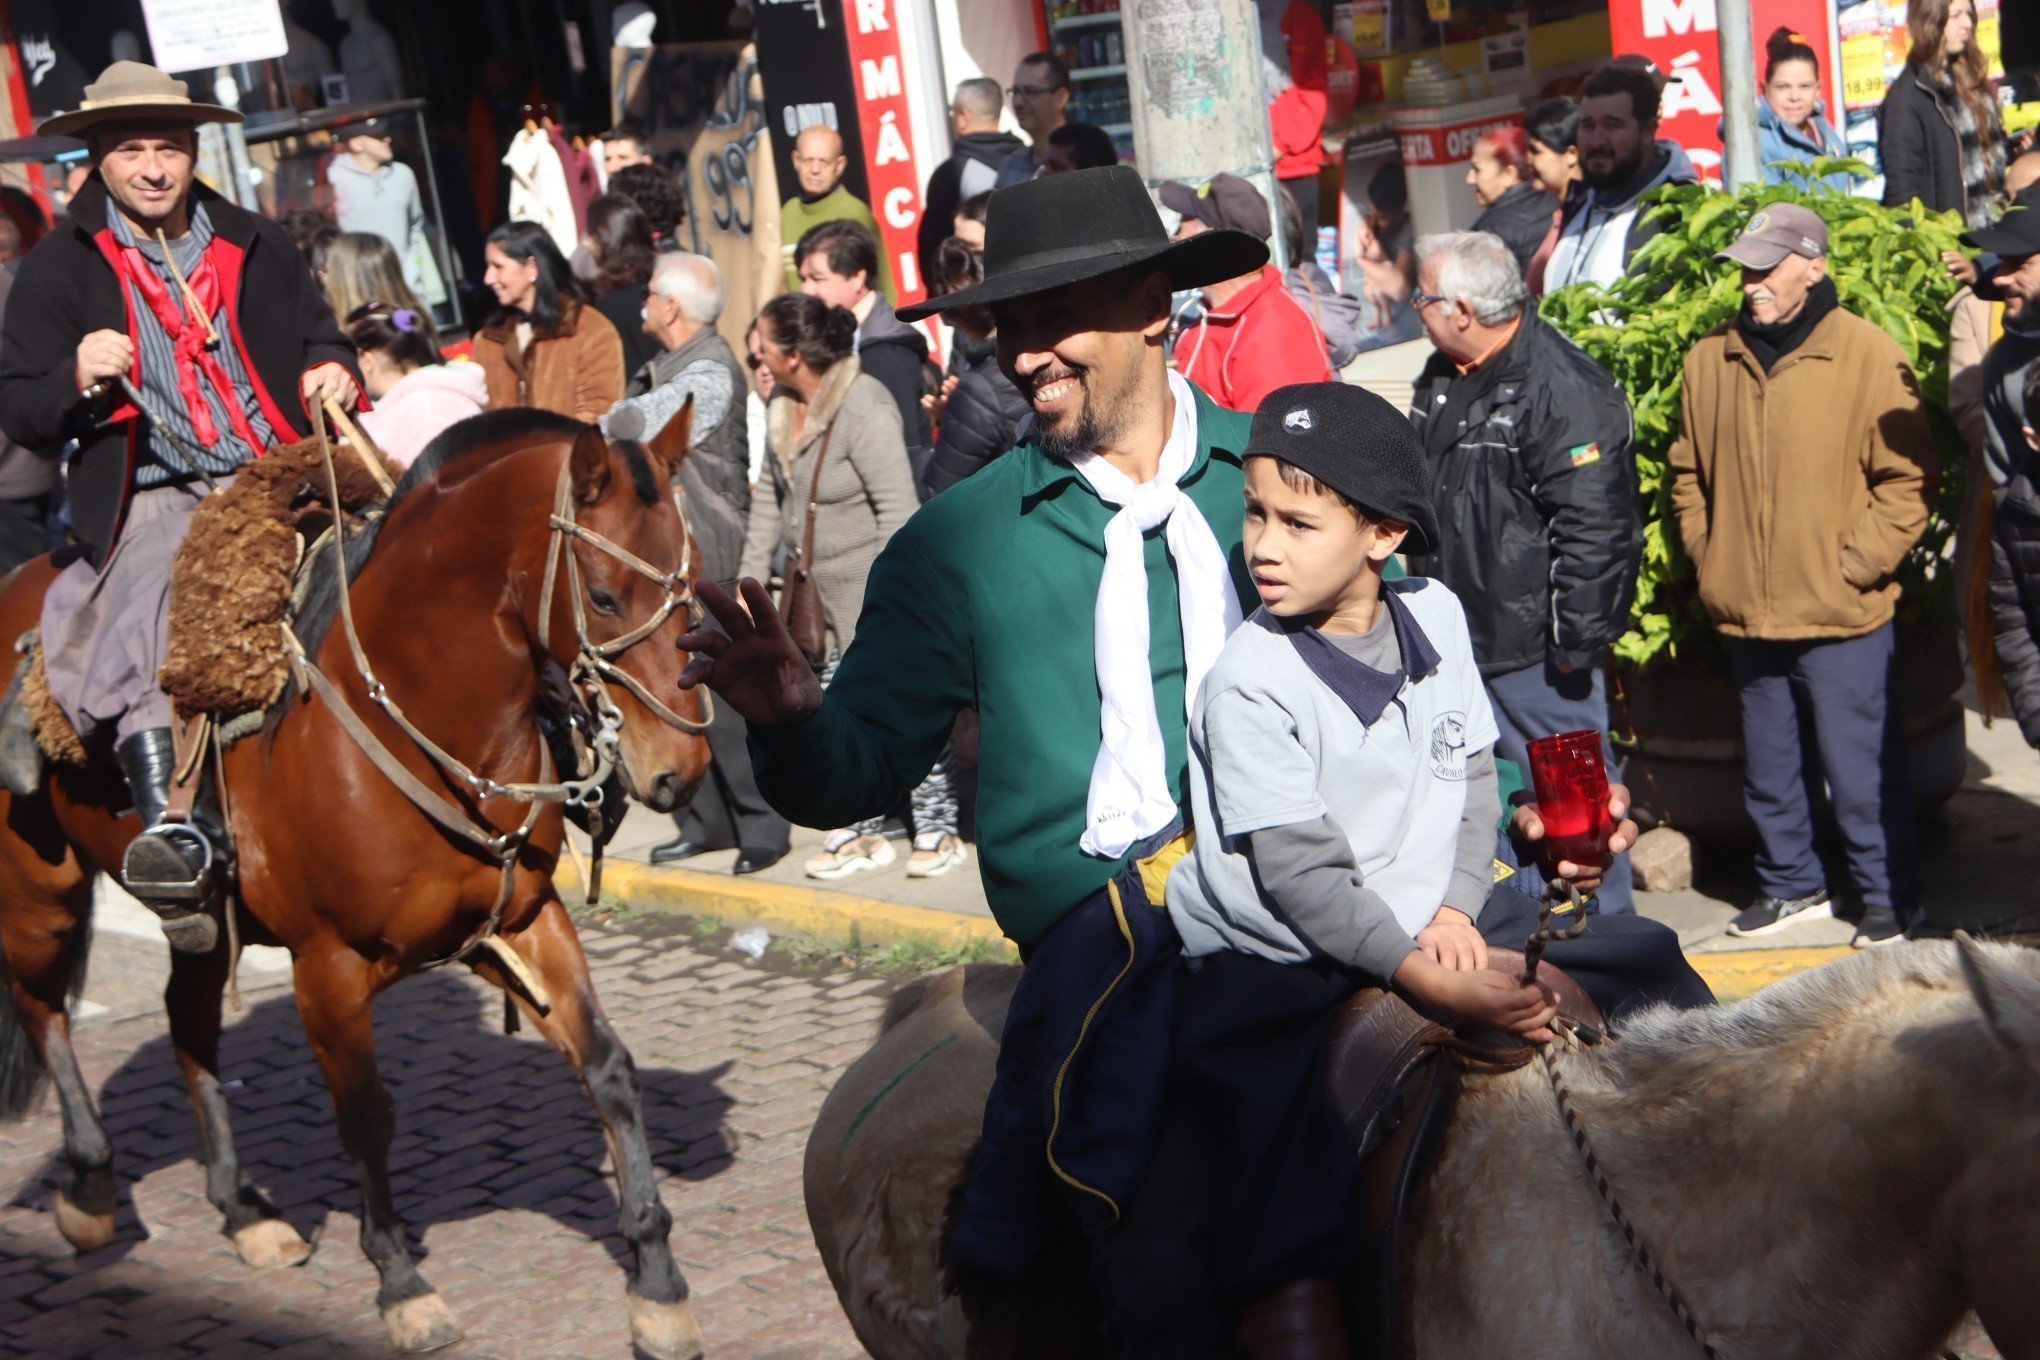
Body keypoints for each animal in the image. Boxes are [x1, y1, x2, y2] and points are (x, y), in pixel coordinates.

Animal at [0, 409, 718, 1353]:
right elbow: (367, 1115)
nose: (681, 771)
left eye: (693, 581)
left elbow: (609, 1069)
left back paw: (244, 1210)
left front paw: (658, 1281)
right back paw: (88, 1187)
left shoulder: (521, 923)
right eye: (602, 598)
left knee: (186, 1020)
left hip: (202, 924)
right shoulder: (328, 968)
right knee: (44, 1010)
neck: (424, 712)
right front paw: (401, 1282)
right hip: (39, 890)